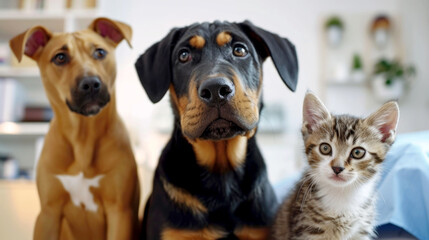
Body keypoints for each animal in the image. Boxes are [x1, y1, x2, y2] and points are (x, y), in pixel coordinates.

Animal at [10, 17, 140, 239]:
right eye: (60, 57)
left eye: (100, 52)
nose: (91, 84)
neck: (82, 137)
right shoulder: (48, 214)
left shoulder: (120, 212)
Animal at [270, 92, 398, 240]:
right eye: (325, 148)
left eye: (358, 152)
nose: (337, 168)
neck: (342, 195)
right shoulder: (305, 230)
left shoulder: (360, 232)